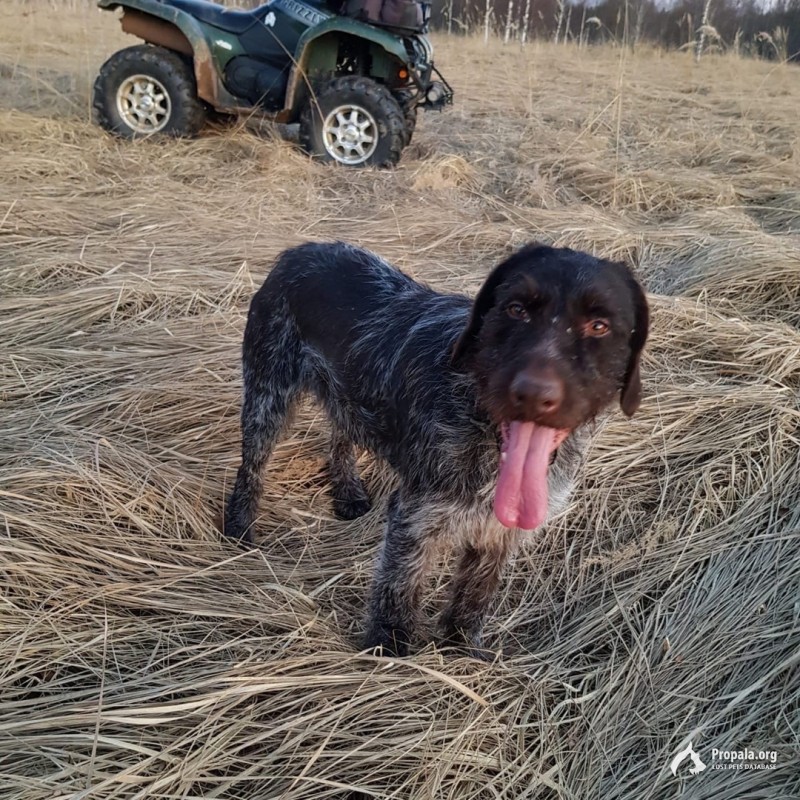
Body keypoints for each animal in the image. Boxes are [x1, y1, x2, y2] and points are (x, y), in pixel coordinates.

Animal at [222, 242, 648, 656]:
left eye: (599, 326)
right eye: (516, 309)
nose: (533, 394)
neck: (479, 422)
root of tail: (297, 252)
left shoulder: (498, 531)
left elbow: (474, 596)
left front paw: (461, 649)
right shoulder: (415, 518)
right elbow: (398, 589)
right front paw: (388, 651)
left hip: (344, 394)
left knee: (341, 432)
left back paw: (348, 492)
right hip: (267, 397)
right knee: (252, 466)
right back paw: (240, 526)